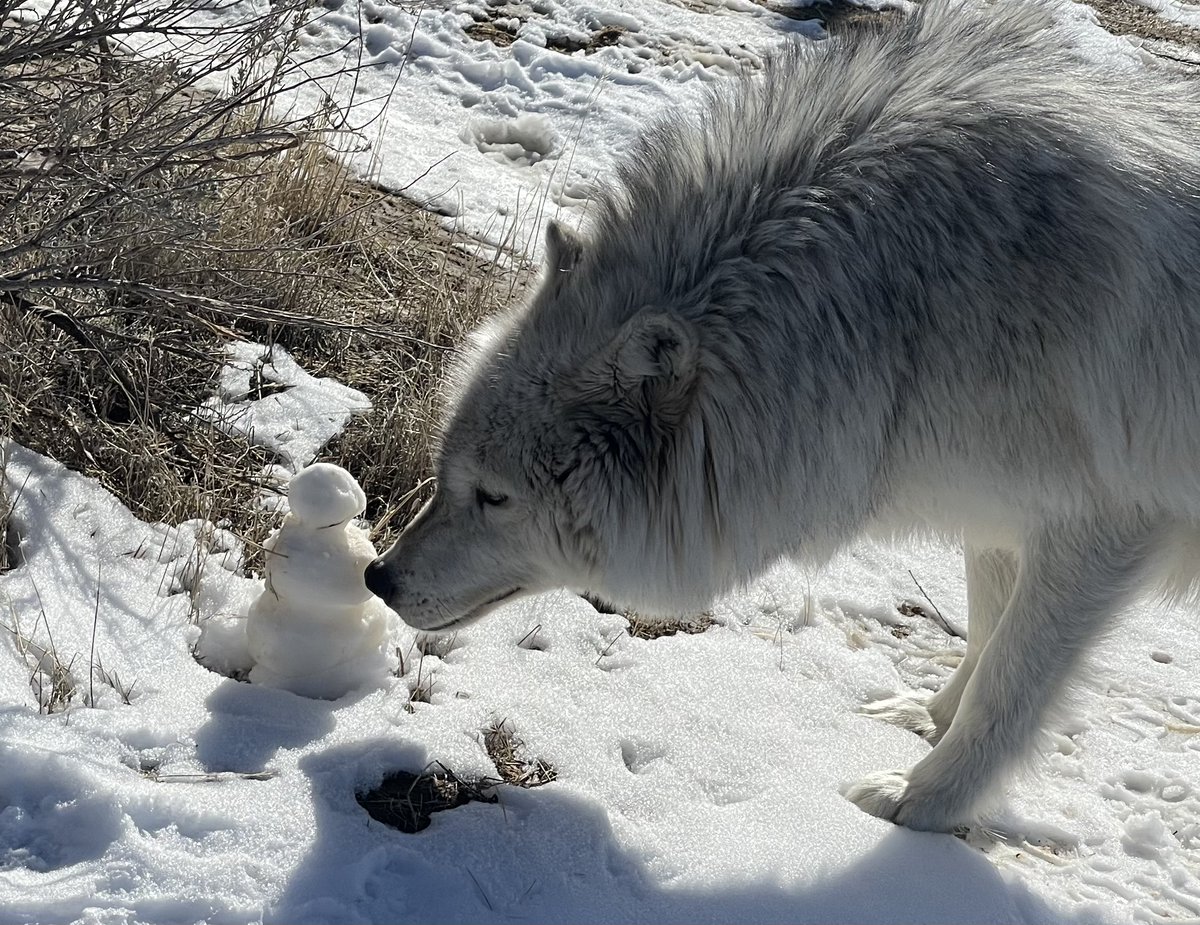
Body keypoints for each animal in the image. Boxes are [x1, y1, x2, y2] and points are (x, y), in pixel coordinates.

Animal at [365, 0, 1200, 832]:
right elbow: (986, 638)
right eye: (449, 477)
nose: (378, 575)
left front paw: (924, 800)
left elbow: (1008, 683)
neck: (907, 315)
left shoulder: (1101, 531)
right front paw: (929, 718)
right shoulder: (996, 509)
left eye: (495, 496)